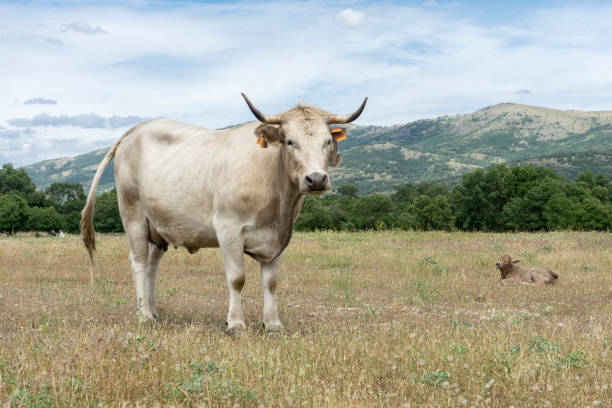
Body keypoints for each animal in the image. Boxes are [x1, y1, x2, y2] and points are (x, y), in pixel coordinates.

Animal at [81, 94, 368, 334]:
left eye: (327, 141)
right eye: (290, 141)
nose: (316, 179)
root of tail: (140, 128)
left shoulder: (280, 237)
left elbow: (271, 282)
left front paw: (273, 324)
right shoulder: (228, 229)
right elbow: (237, 278)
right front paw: (236, 323)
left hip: (158, 226)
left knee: (152, 266)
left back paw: (152, 312)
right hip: (134, 217)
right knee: (139, 263)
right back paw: (143, 317)